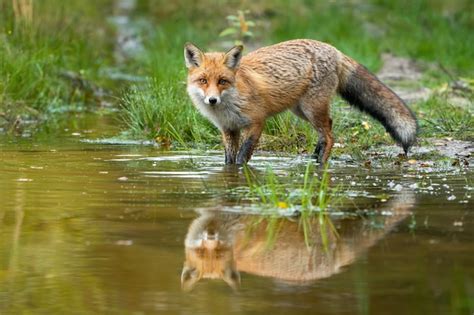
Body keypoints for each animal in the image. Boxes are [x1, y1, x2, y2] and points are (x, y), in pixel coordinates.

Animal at [185, 39, 418, 165]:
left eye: (222, 81)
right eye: (203, 81)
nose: (212, 100)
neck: (227, 107)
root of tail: (334, 50)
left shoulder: (257, 123)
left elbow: (243, 156)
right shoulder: (229, 130)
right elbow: (229, 161)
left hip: (312, 109)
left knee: (330, 135)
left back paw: (321, 163)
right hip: (301, 111)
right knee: (327, 129)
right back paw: (314, 157)